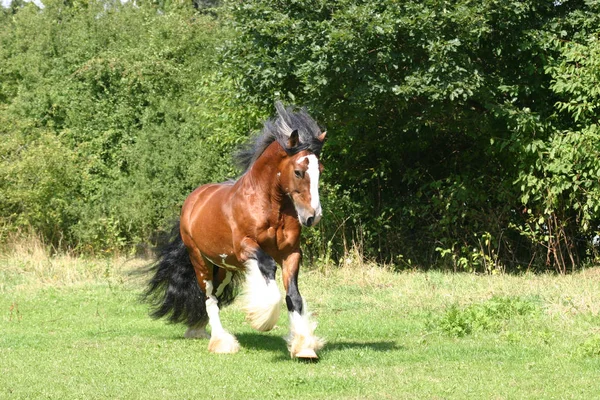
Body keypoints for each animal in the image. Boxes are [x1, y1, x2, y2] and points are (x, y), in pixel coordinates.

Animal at [145, 103, 326, 360]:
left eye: (320, 169)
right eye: (299, 171)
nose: (313, 216)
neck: (269, 206)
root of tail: (193, 199)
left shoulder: (291, 253)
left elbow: (294, 297)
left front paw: (304, 347)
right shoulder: (246, 248)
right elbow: (269, 272)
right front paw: (262, 319)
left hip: (224, 268)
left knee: (217, 297)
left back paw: (199, 329)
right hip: (201, 262)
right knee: (209, 298)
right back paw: (221, 342)